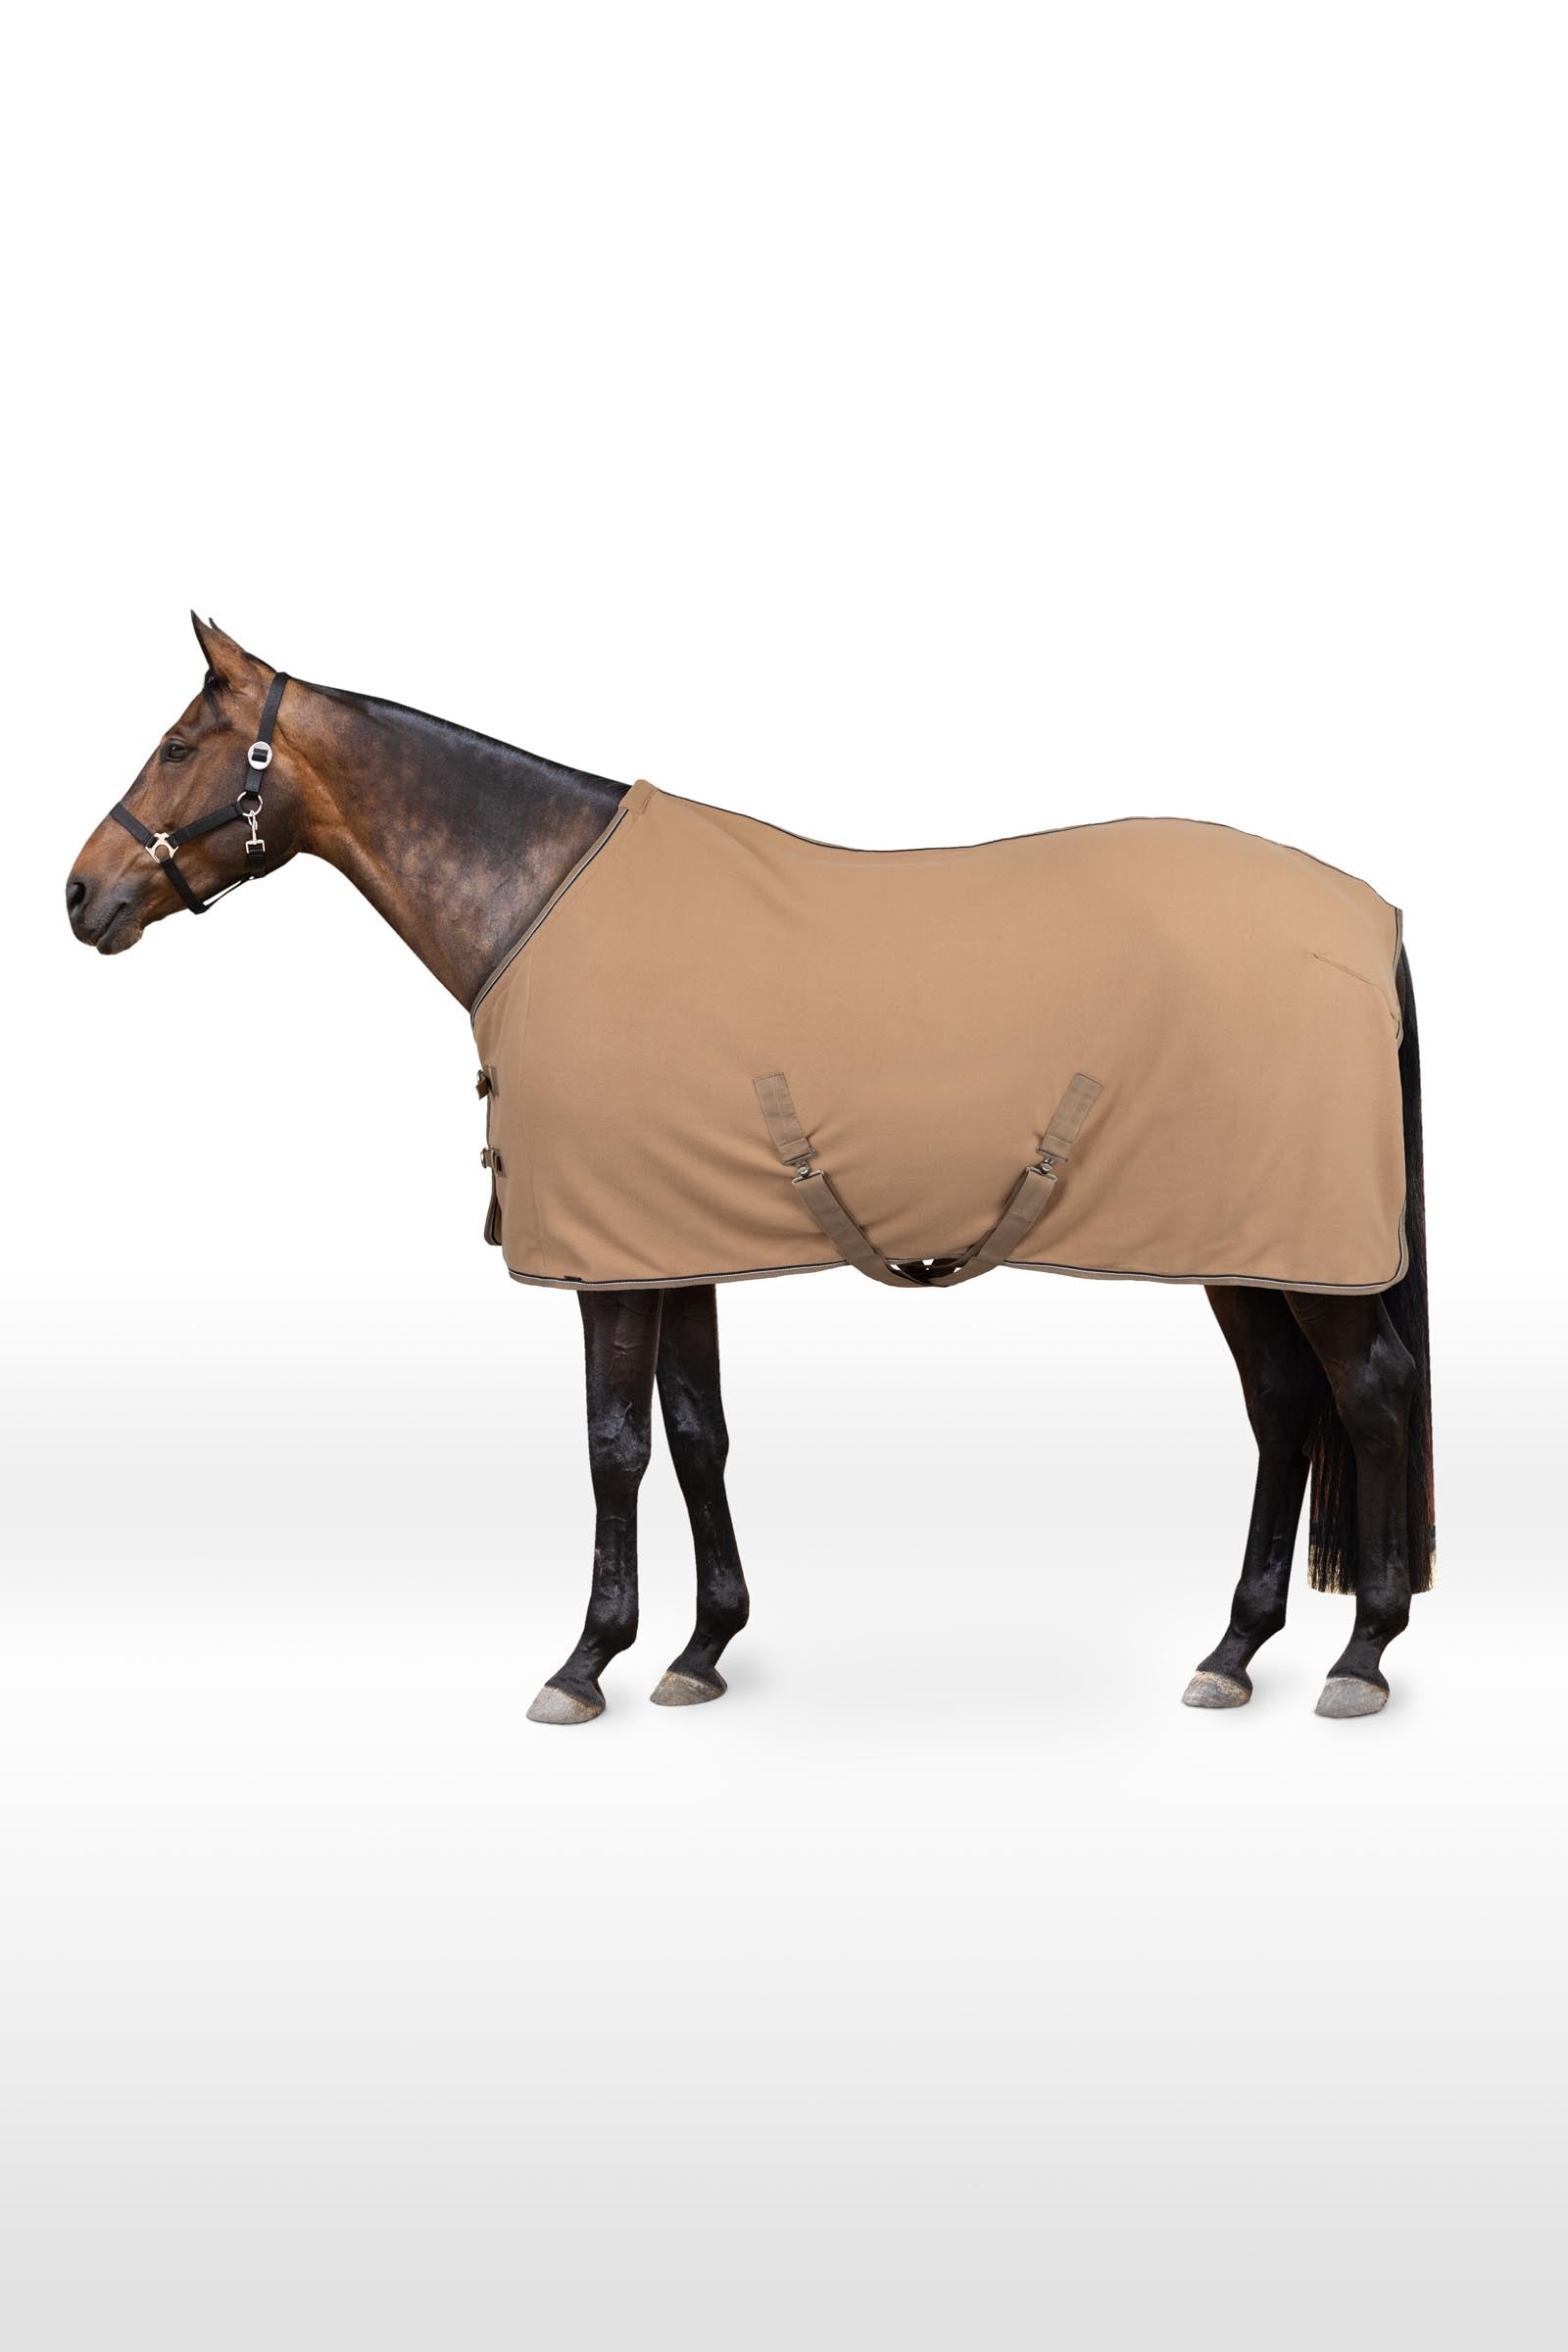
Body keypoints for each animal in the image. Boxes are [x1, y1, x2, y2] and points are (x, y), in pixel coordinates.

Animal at [65, 616, 1434, 1724]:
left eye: (179, 746)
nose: (80, 895)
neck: (541, 897)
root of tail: (1369, 915)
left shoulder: (611, 1262)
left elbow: (614, 1443)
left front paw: (586, 1663)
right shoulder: (671, 1239)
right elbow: (696, 1431)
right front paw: (701, 1649)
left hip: (1298, 1253)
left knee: (1367, 1394)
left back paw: (1361, 1655)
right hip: (1239, 1245)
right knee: (1284, 1407)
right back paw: (1235, 1650)